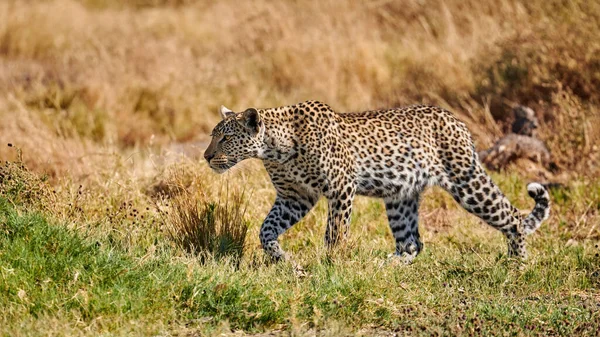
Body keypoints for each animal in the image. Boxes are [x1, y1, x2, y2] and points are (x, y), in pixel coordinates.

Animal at [204, 100, 552, 262]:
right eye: (213, 136)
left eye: (225, 139)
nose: (207, 157)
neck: (275, 149)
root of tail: (455, 119)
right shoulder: (295, 197)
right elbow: (266, 229)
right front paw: (281, 258)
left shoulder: (340, 188)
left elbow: (335, 231)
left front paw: (333, 263)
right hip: (400, 196)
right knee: (412, 243)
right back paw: (388, 265)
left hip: (466, 180)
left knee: (512, 216)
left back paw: (518, 262)